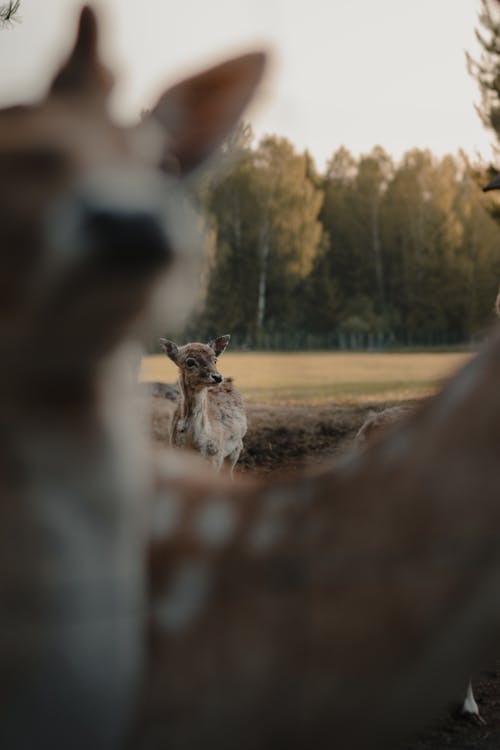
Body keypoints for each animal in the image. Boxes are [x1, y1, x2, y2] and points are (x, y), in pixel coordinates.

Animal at [160, 336, 246, 476]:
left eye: (215, 360)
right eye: (190, 362)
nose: (217, 377)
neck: (193, 444)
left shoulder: (216, 457)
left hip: (237, 447)